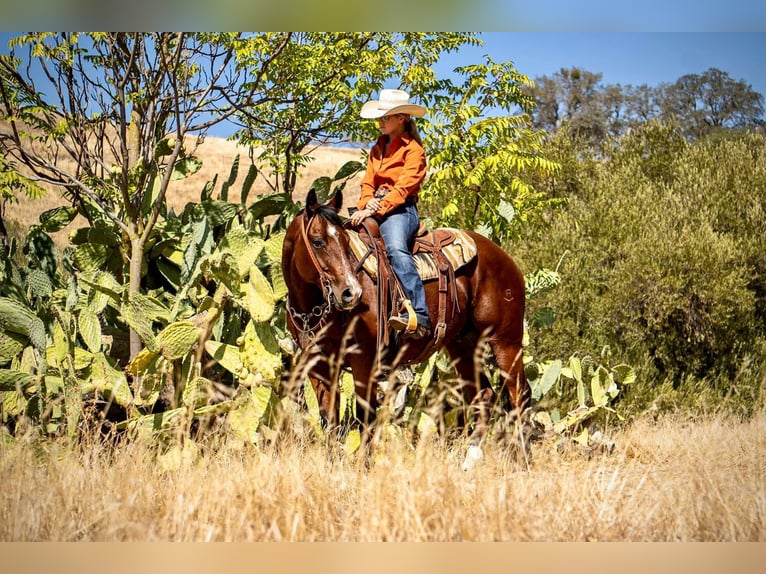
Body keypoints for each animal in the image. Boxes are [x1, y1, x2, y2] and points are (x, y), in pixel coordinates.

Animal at [284, 188, 532, 446]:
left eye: (345, 242)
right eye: (318, 242)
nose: (352, 292)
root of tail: (505, 258)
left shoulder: (364, 360)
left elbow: (365, 419)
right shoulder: (318, 365)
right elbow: (329, 421)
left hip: (506, 342)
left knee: (518, 396)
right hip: (463, 347)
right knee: (484, 395)